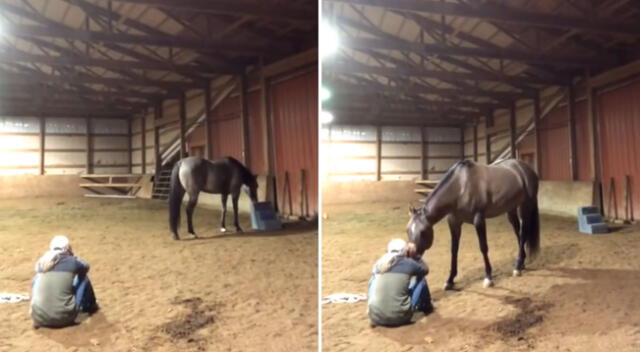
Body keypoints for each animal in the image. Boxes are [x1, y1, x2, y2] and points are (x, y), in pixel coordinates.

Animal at [408, 159, 536, 288]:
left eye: (423, 231)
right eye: (407, 230)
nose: (410, 254)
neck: (461, 187)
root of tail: (525, 167)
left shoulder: (478, 220)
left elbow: (483, 247)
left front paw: (488, 277)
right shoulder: (454, 223)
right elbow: (454, 250)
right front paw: (450, 280)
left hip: (525, 205)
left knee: (523, 233)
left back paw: (517, 267)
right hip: (511, 209)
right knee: (518, 232)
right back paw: (521, 263)